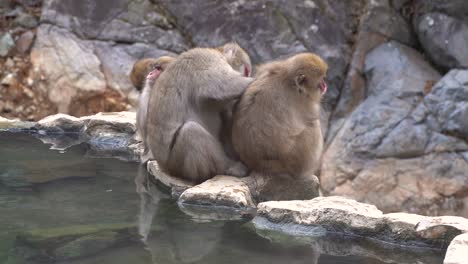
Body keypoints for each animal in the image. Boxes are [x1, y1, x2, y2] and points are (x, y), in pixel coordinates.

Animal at [147, 42, 254, 184]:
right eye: (247, 71)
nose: (247, 75)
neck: (218, 53)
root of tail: (164, 168)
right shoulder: (208, 60)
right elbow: (221, 85)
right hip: (177, 164)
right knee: (191, 132)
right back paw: (228, 167)